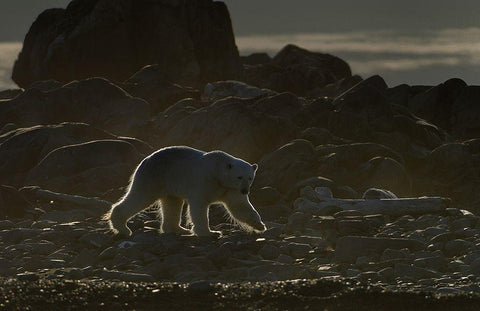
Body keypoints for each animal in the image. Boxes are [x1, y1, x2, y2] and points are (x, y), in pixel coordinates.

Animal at [103, 146, 266, 236]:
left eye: (250, 178)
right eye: (239, 177)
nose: (245, 190)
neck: (218, 172)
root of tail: (145, 160)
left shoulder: (230, 189)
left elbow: (239, 206)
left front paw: (259, 225)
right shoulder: (204, 181)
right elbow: (198, 206)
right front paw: (211, 233)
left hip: (169, 184)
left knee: (172, 204)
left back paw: (179, 229)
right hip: (154, 177)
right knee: (140, 197)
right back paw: (123, 228)